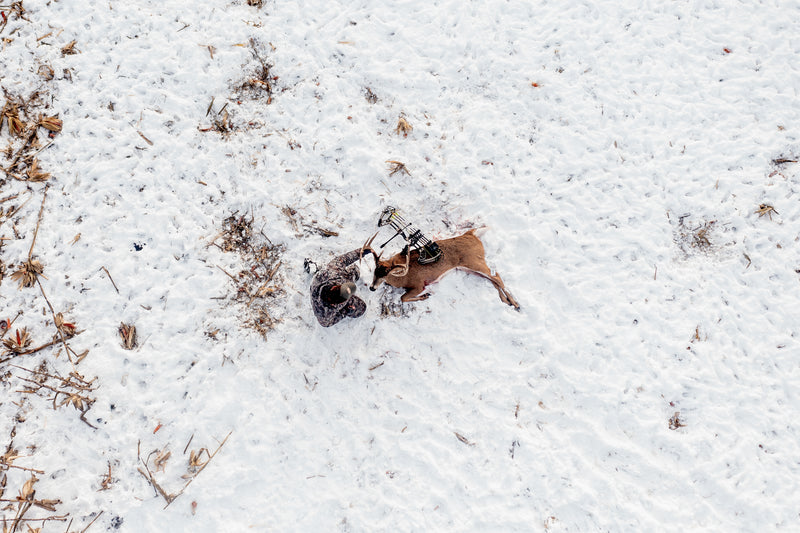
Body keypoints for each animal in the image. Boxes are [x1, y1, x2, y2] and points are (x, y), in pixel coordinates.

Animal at [361, 229, 520, 310]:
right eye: (375, 271)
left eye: (385, 274)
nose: (372, 288)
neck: (401, 277)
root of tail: (471, 234)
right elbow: (403, 297)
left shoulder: (418, 284)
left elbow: (403, 297)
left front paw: (426, 296)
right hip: (469, 269)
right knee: (493, 279)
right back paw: (507, 301)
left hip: (474, 261)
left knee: (497, 277)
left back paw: (516, 304)